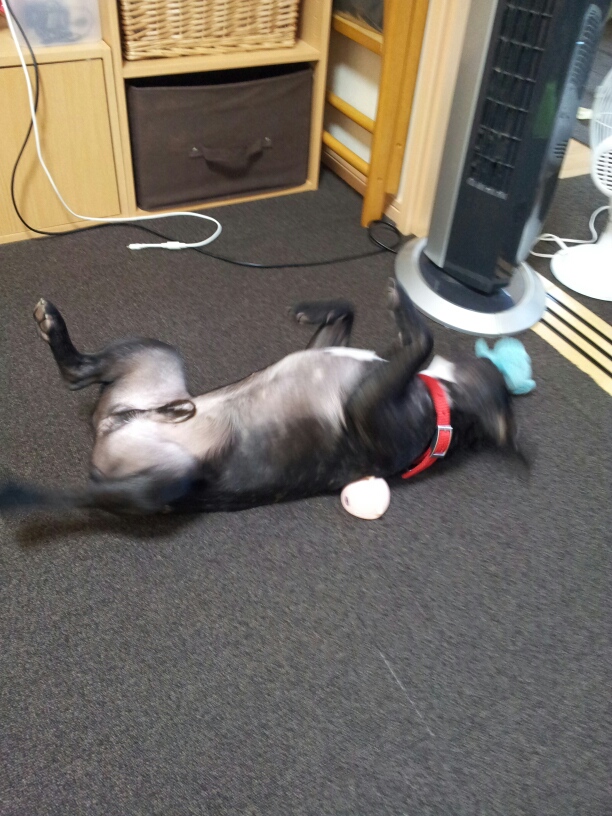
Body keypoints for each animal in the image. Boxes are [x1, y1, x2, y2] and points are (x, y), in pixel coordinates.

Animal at [0, 281, 523, 517]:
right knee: (77, 373)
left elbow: (424, 341)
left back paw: (20, 496)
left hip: (170, 477)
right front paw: (311, 307)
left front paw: (407, 311)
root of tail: (117, 423)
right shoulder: (330, 350)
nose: (493, 360)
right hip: (155, 353)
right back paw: (54, 327)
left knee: (81, 494)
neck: (444, 409)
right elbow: (347, 311)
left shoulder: (363, 409)